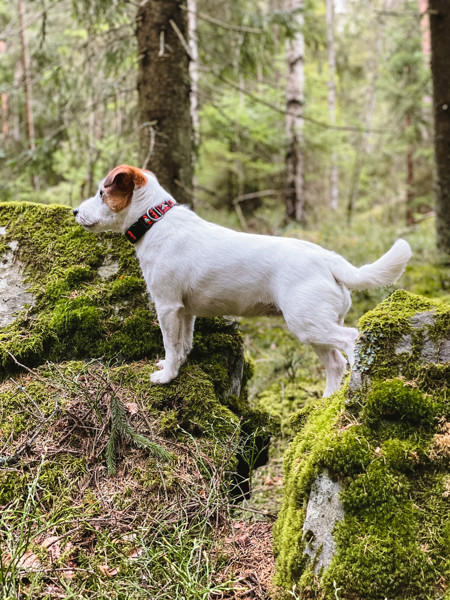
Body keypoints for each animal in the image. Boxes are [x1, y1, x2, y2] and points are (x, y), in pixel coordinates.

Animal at [74, 166, 412, 396]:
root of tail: (329, 259)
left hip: (309, 323)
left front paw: (167, 376)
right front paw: (176, 366)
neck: (155, 221)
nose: (75, 211)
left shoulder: (167, 306)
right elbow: (183, 344)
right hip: (314, 329)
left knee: (352, 340)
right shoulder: (185, 311)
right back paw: (326, 401)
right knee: (335, 364)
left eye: (102, 193)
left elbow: (170, 343)